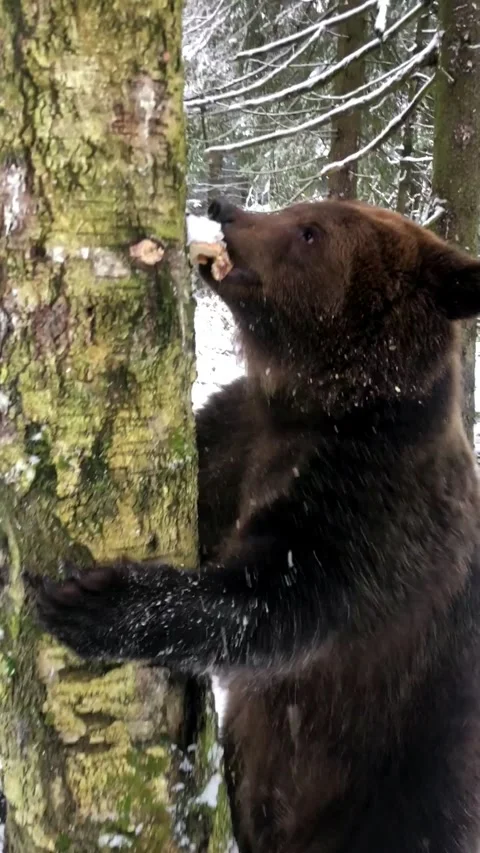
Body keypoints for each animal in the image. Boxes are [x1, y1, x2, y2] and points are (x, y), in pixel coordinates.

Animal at [32, 197, 480, 853]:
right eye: (305, 208)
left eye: (311, 232)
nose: (225, 209)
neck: (316, 408)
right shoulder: (236, 434)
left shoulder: (379, 506)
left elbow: (280, 597)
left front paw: (94, 603)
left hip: (403, 778)